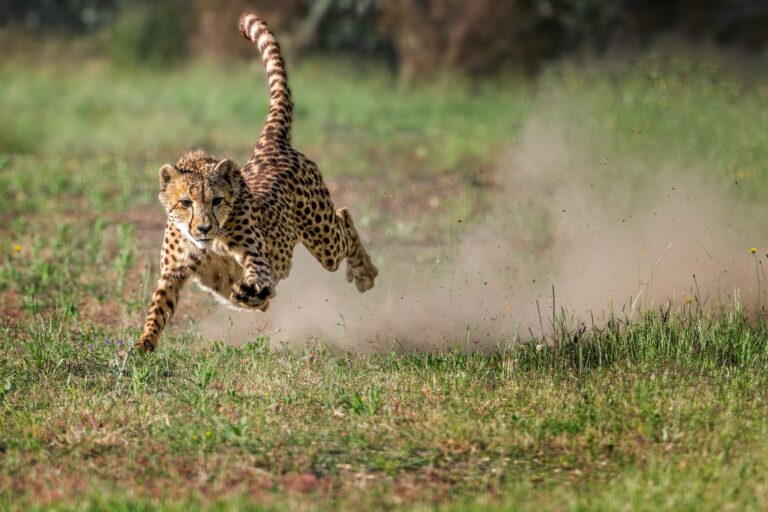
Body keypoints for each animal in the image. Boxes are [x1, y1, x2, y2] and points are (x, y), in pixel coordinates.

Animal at [136, 12, 378, 352]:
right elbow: (158, 308)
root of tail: (270, 146)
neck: (209, 244)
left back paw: (365, 273)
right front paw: (143, 343)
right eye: (185, 203)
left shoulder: (256, 258)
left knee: (343, 219)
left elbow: (257, 276)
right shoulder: (174, 271)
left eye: (217, 200)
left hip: (323, 238)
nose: (204, 228)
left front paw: (253, 292)